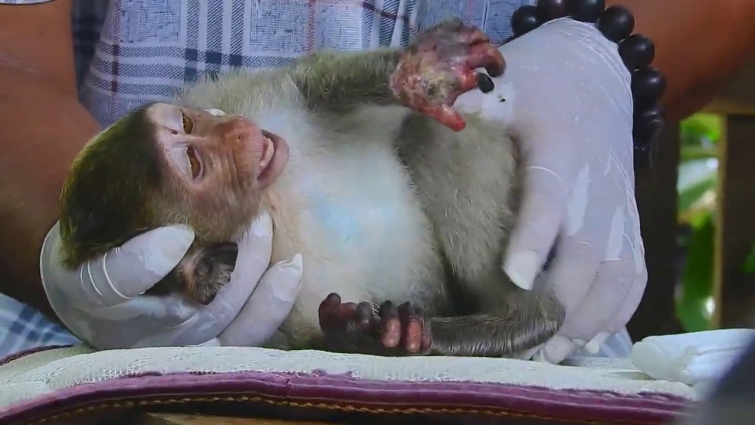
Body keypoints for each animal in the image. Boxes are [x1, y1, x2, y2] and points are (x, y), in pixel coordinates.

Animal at [57, 19, 566, 358]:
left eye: (188, 124)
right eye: (195, 165)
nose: (236, 131)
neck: (270, 203)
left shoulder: (260, 102)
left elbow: (316, 85)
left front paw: (416, 73)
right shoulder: (280, 313)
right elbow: (306, 337)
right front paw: (372, 336)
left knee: (424, 132)